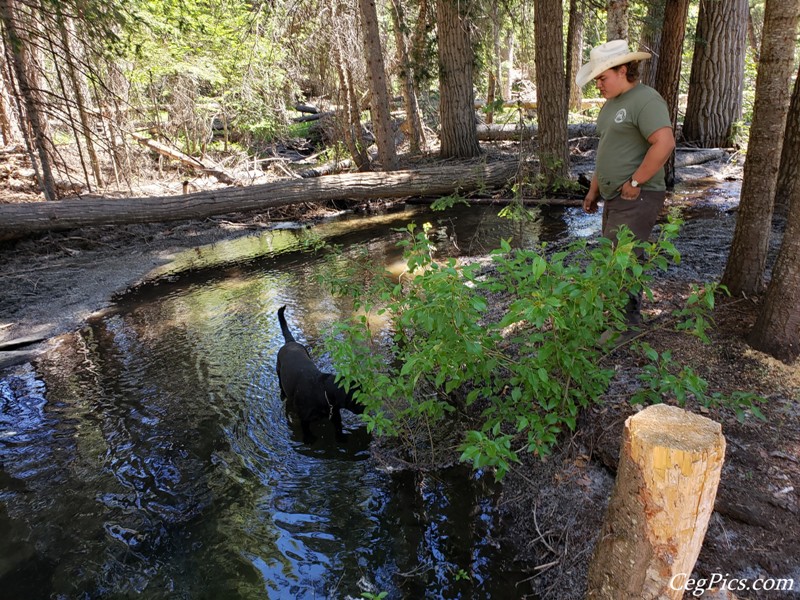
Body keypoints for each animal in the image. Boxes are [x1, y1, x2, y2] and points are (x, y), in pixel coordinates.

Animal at [276, 308, 362, 442]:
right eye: (358, 400)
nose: (367, 409)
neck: (323, 391)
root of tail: (290, 342)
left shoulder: (335, 414)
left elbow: (338, 427)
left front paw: (341, 438)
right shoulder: (304, 417)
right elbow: (305, 429)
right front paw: (308, 439)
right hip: (279, 371)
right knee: (281, 384)